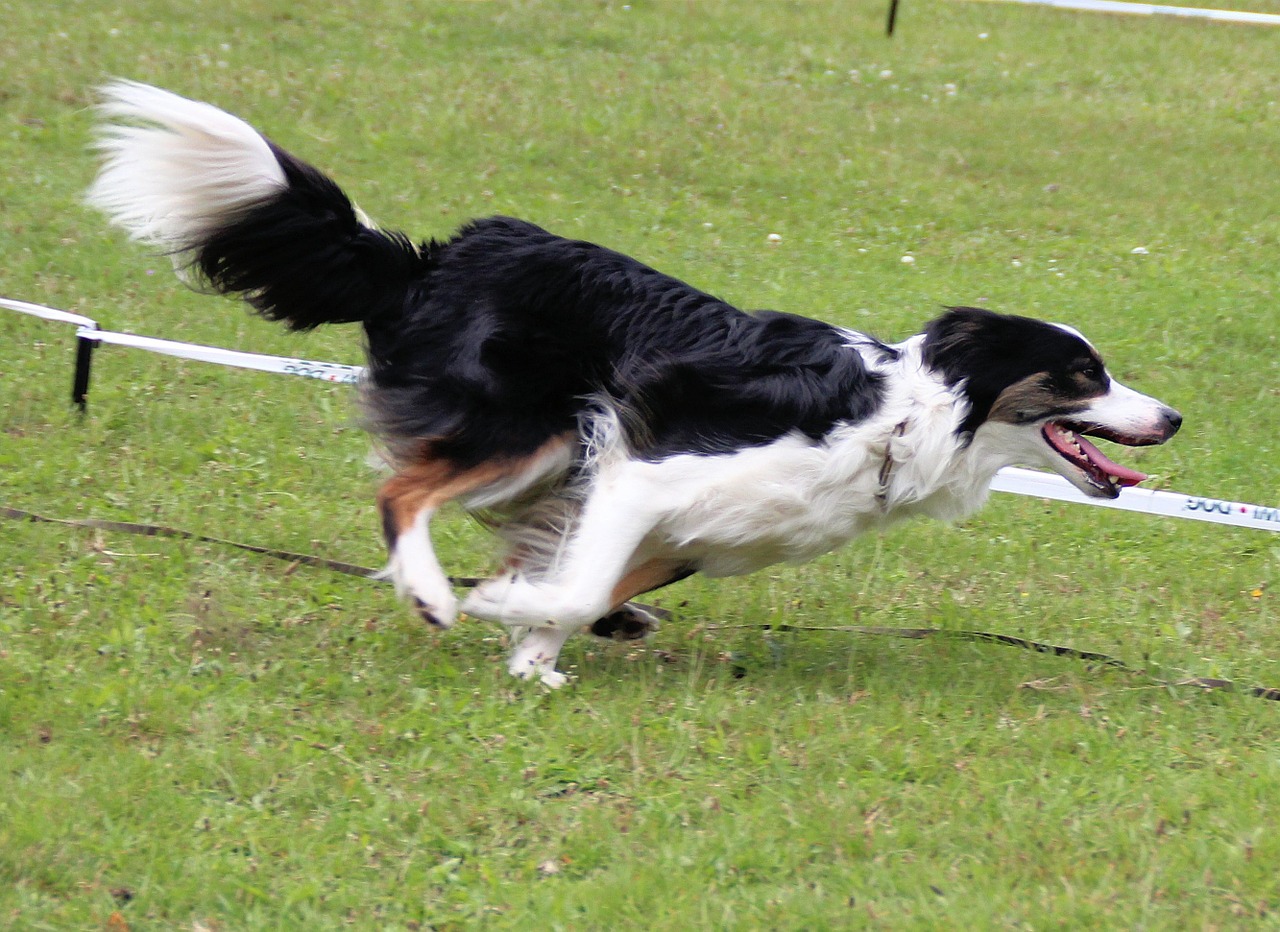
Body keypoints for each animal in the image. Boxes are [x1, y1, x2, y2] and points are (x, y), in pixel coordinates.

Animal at [90, 81, 1177, 686]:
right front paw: (502, 611)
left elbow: (584, 588)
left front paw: (530, 650)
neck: (908, 419)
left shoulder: (686, 528)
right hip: (525, 425)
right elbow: (572, 590)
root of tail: (432, 256)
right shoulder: (645, 471)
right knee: (400, 490)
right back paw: (434, 592)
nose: (1170, 417)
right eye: (1083, 373)